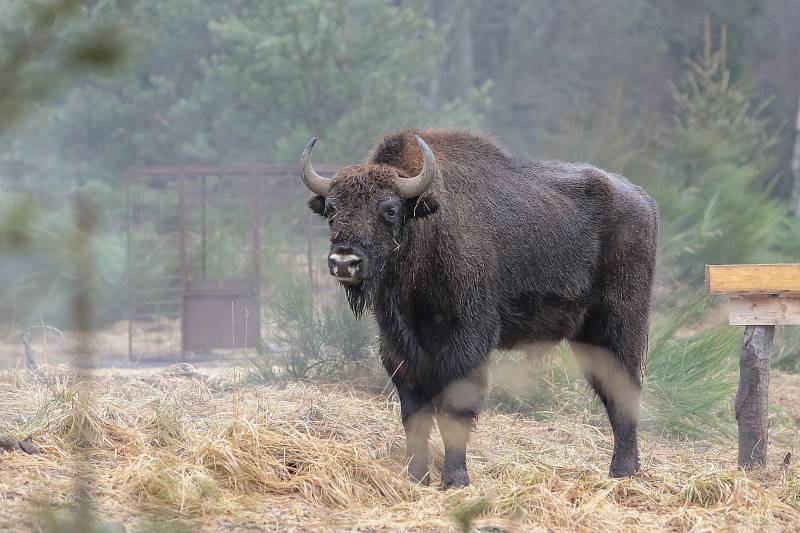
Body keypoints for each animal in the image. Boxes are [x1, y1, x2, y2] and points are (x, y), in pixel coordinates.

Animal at [300, 129, 656, 486]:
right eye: (332, 209)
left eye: (389, 209)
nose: (344, 261)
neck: (428, 225)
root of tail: (644, 202)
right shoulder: (400, 348)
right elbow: (414, 414)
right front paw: (417, 477)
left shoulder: (467, 340)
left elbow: (454, 411)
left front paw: (456, 479)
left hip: (620, 326)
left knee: (624, 390)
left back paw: (622, 471)